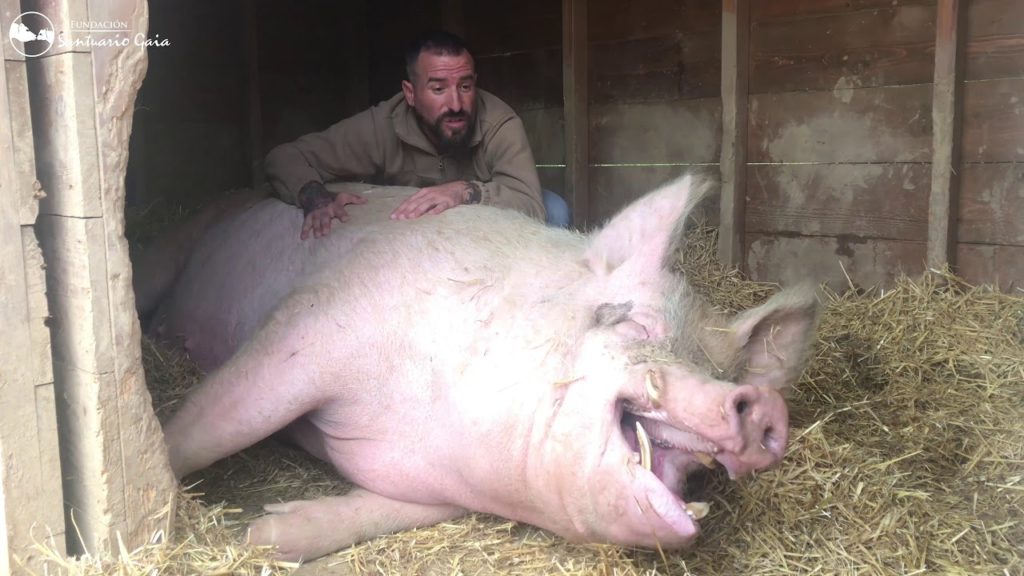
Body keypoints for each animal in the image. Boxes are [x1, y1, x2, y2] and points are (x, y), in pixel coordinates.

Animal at [140, 176, 819, 561]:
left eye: (723, 370)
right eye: (641, 326)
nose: (763, 406)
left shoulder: (435, 485)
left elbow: (386, 510)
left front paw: (264, 534)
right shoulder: (311, 325)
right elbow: (215, 423)